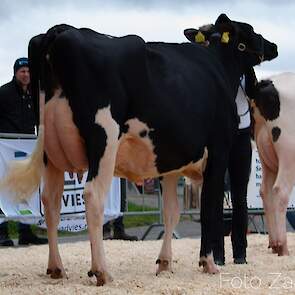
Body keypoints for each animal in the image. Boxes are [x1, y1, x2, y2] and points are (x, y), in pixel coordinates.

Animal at [1, 14, 278, 286]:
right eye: (250, 31)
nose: (273, 46)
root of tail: (62, 30)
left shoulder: (170, 163)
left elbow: (171, 212)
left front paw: (164, 263)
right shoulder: (218, 152)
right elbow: (211, 209)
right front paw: (208, 263)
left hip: (50, 150)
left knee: (50, 201)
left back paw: (56, 268)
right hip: (104, 141)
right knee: (93, 196)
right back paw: (101, 271)